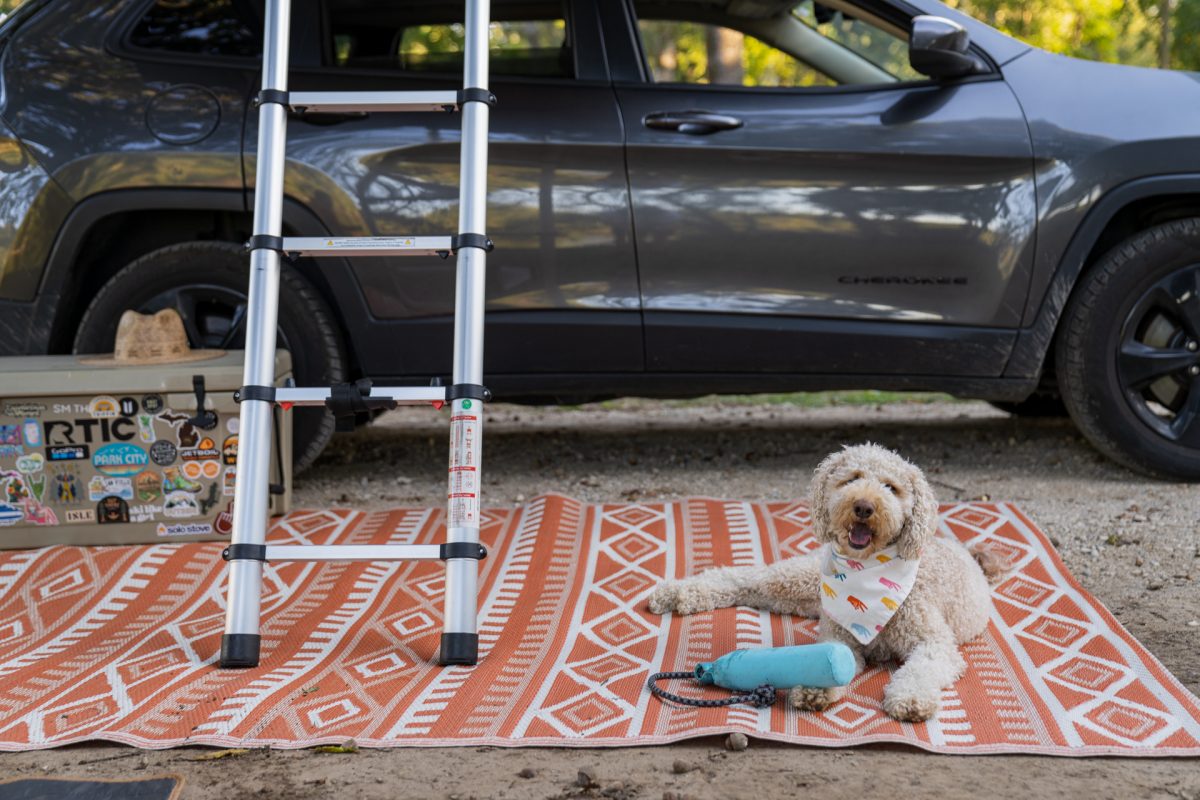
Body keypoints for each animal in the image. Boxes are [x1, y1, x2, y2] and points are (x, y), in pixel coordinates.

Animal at [648, 441, 1003, 724]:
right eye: (852, 478)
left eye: (891, 487)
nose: (864, 506)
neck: (868, 574)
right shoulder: (839, 636)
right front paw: (816, 687)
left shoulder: (933, 643)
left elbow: (919, 670)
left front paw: (912, 699)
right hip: (799, 579)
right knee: (743, 577)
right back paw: (675, 593)